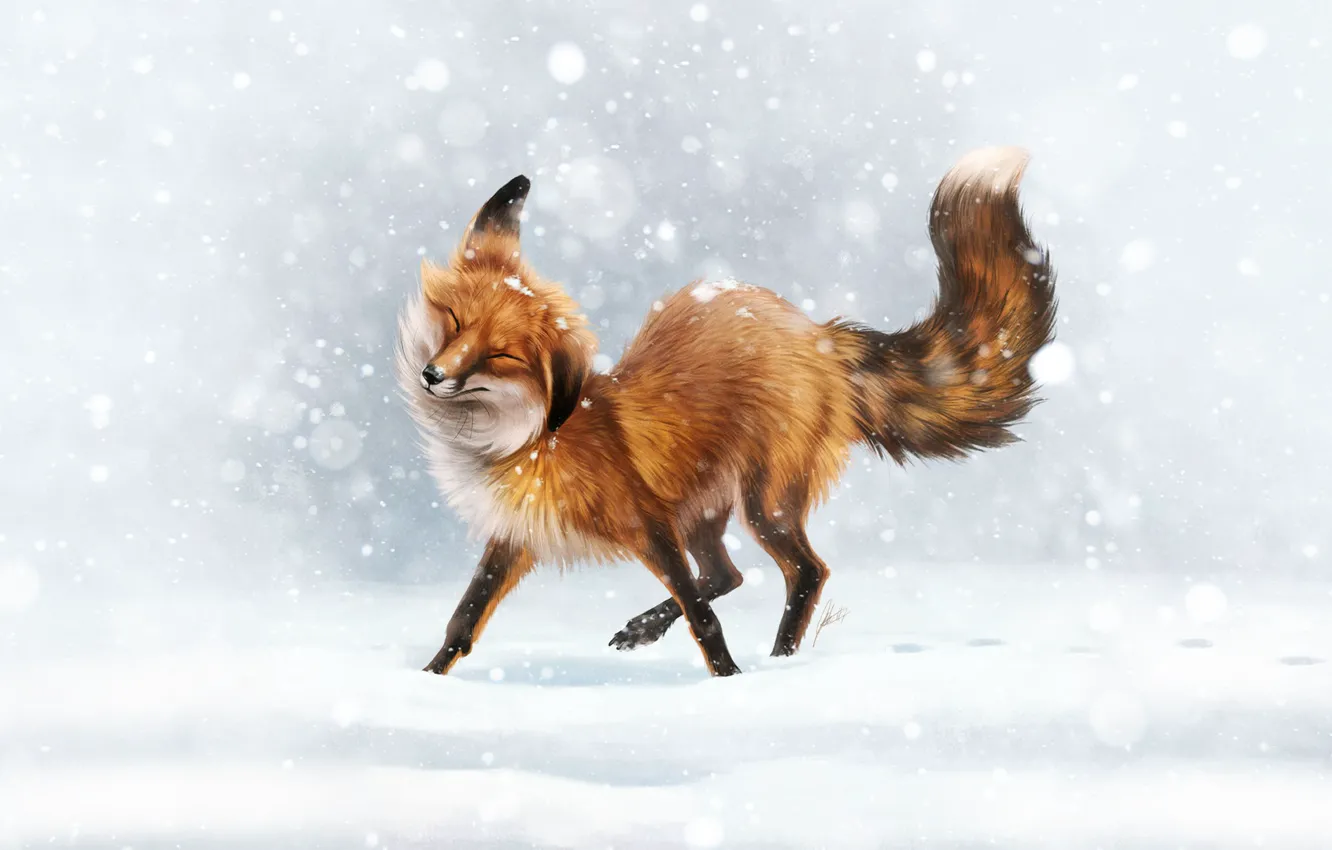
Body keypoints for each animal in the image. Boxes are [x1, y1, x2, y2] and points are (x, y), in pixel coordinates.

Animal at [395, 146, 1057, 677]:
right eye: (454, 322)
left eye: (500, 355)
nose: (434, 376)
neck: (534, 436)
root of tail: (816, 333)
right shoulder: (516, 533)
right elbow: (464, 619)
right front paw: (427, 681)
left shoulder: (648, 522)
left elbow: (702, 618)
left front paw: (729, 682)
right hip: (705, 508)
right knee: (727, 575)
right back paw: (647, 629)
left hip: (764, 504)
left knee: (804, 573)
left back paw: (778, 662)